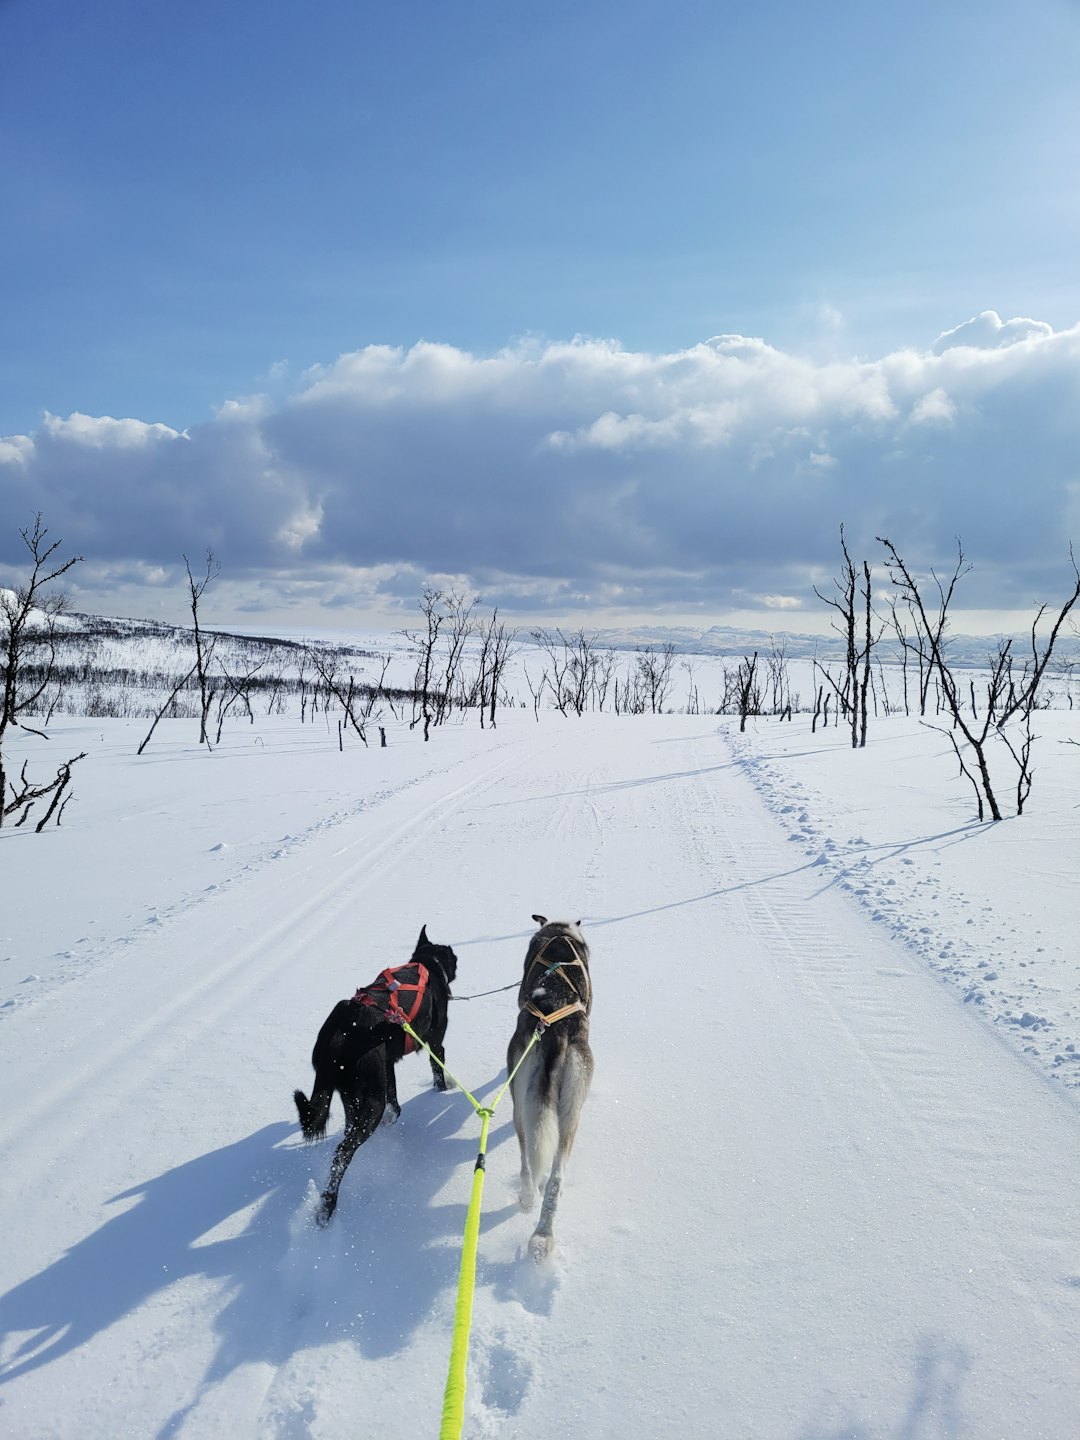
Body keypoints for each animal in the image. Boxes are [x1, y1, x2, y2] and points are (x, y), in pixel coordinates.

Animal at [292, 927, 457, 1221]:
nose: (457, 959)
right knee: (342, 1153)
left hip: (351, 1093)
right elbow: (437, 1069)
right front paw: (442, 1089)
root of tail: (338, 1035)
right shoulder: (435, 1043)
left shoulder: (387, 1065)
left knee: (349, 1130)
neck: (428, 964)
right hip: (371, 1103)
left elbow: (395, 1100)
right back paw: (327, 1204)